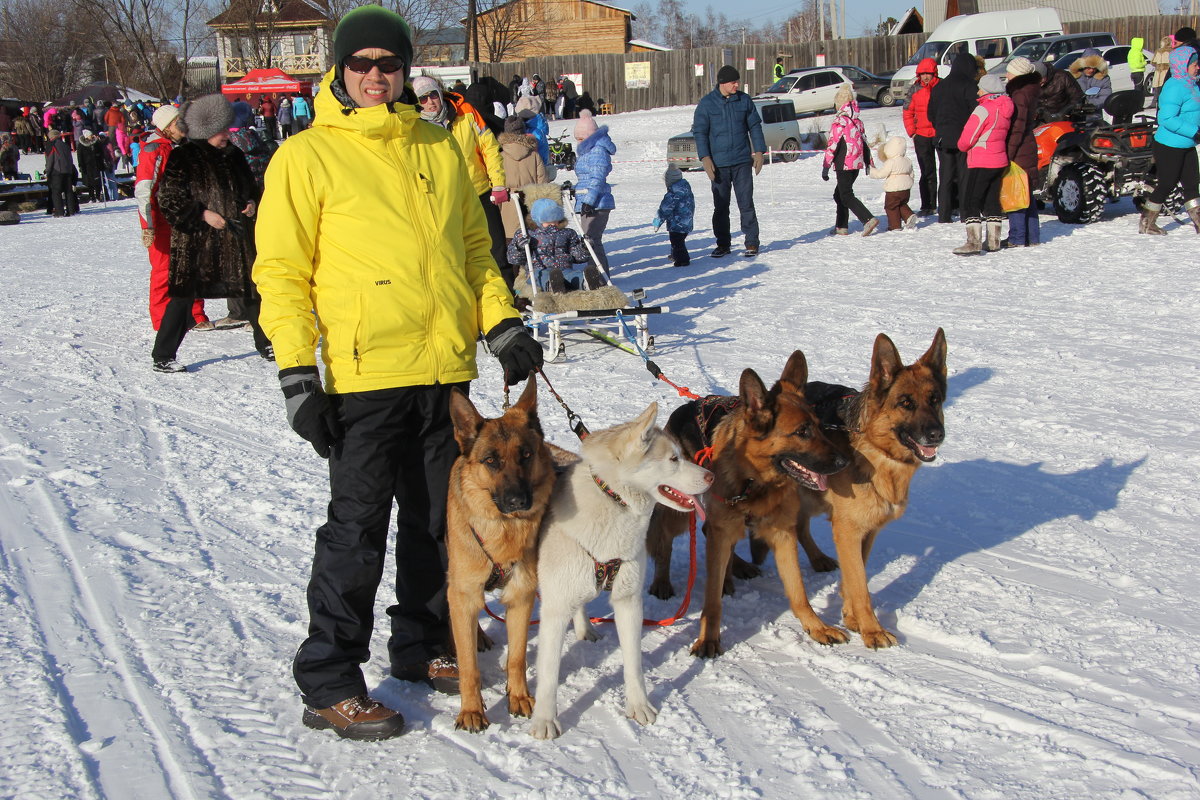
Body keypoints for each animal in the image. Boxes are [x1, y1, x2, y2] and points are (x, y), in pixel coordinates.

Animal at [446, 381, 556, 734]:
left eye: (526, 455)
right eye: (491, 460)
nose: (518, 500)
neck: (503, 530)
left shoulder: (521, 596)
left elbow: (517, 657)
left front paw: (518, 697)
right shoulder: (463, 592)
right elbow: (469, 667)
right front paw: (471, 710)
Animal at [528, 402, 710, 743]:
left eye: (682, 454)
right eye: (673, 459)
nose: (712, 475)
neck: (613, 499)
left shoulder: (629, 602)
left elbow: (634, 663)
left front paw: (639, 706)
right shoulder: (554, 610)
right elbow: (548, 673)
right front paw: (544, 720)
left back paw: (585, 628)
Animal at [648, 350, 854, 657]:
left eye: (819, 427)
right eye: (802, 432)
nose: (845, 462)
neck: (754, 480)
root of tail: (684, 406)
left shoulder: (782, 535)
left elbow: (799, 592)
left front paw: (816, 627)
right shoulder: (724, 527)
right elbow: (711, 601)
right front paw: (708, 639)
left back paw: (736, 571)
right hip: (681, 508)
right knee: (665, 538)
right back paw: (662, 581)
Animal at [796, 331, 945, 652]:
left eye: (935, 400)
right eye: (905, 403)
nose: (937, 435)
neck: (876, 450)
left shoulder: (868, 531)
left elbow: (855, 577)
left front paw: (852, 617)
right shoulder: (848, 530)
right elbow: (861, 584)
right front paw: (872, 630)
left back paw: (818, 558)